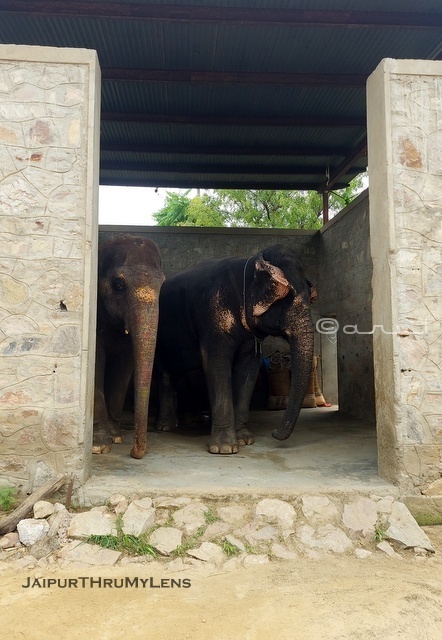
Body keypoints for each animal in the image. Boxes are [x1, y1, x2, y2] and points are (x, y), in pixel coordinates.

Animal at [93, 235, 165, 459]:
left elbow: (124, 368)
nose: (134, 452)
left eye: (162, 284)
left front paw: (116, 438)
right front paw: (100, 447)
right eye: (118, 284)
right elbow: (96, 363)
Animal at [154, 244, 315, 454]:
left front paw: (245, 440)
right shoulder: (211, 318)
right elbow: (216, 363)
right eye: (286, 299)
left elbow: (249, 368)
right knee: (164, 374)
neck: (249, 264)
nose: (274, 433)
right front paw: (224, 449)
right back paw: (165, 427)